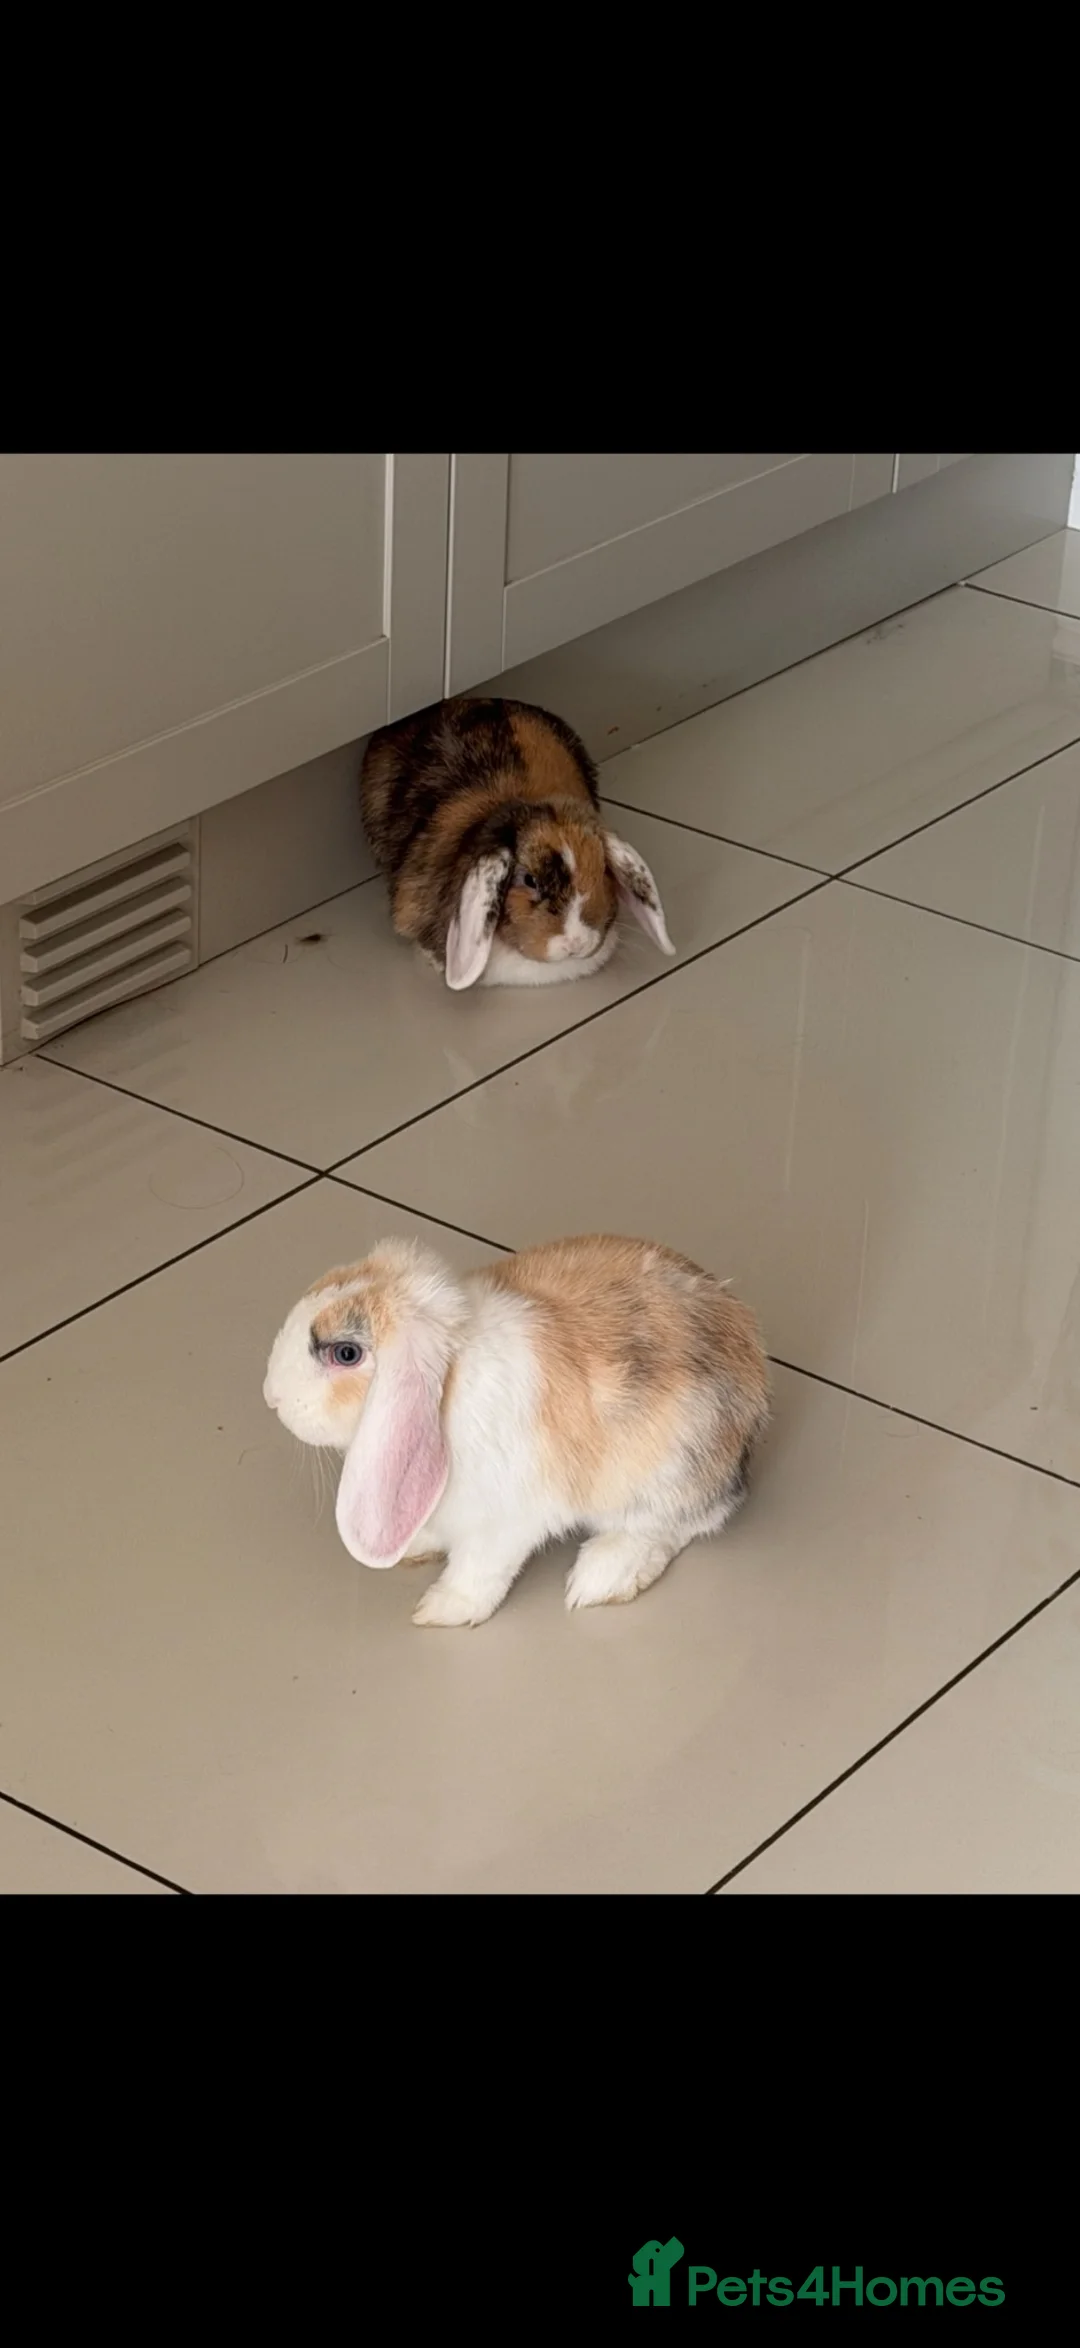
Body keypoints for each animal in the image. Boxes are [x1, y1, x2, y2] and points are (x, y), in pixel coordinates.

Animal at [263, 1231, 769, 1627]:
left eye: (345, 1354)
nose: (271, 1396)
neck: (446, 1382)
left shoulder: (502, 1523)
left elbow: (478, 1571)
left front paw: (441, 1610)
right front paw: (415, 1549)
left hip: (667, 1468)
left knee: (678, 1525)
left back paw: (601, 1578)